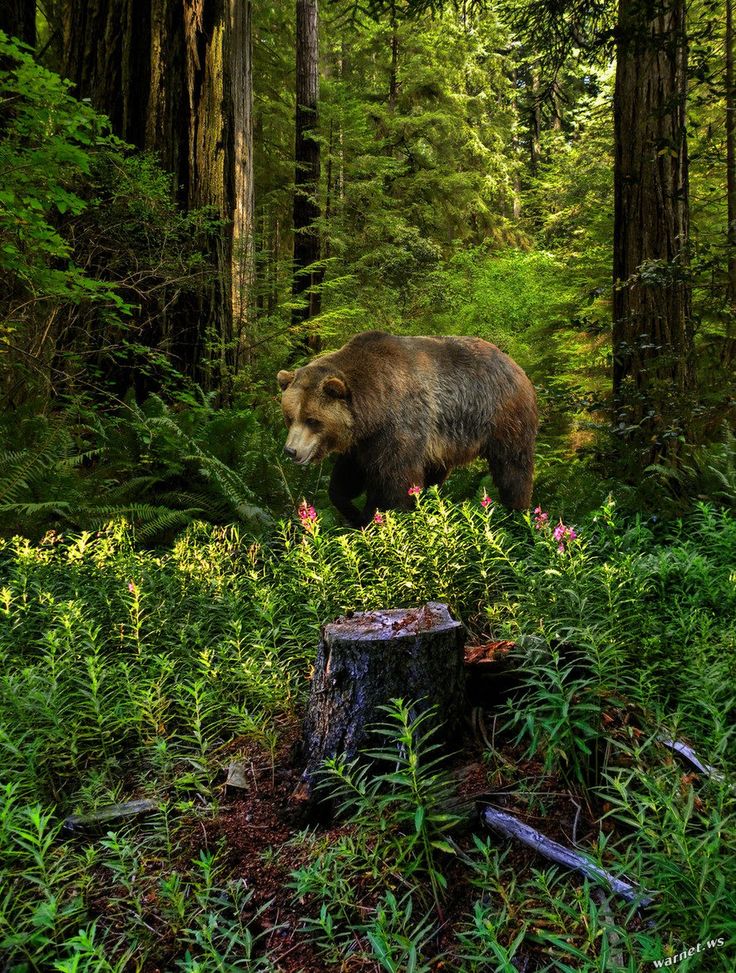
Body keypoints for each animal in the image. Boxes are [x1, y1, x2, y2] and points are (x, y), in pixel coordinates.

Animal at [276, 332, 536, 532]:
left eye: (313, 420)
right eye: (290, 417)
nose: (291, 450)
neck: (373, 408)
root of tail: (514, 364)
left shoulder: (400, 427)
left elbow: (396, 483)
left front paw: (378, 518)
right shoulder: (365, 441)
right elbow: (345, 479)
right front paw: (354, 511)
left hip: (503, 416)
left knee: (513, 467)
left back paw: (517, 512)